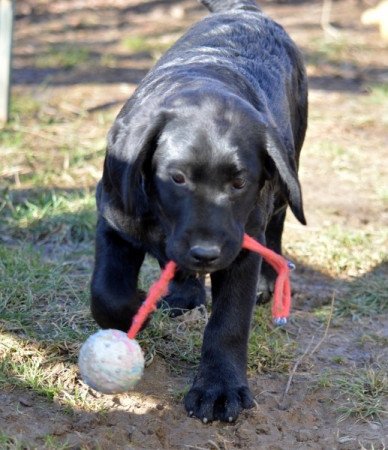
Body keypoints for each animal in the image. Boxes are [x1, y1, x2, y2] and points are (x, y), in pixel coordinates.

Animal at [91, 0, 306, 422]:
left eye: (239, 183)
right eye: (177, 178)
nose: (206, 253)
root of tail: (245, 9)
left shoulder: (240, 246)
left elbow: (229, 321)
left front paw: (219, 388)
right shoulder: (114, 218)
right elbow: (106, 291)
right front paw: (134, 310)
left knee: (276, 227)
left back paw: (266, 282)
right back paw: (184, 294)